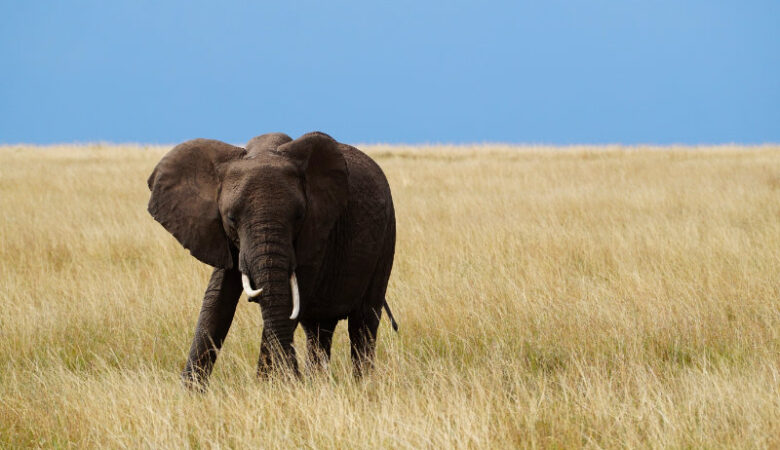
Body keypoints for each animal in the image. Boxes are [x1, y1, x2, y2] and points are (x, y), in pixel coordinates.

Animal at [147, 131, 397, 388]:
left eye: (299, 216)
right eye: (231, 218)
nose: (294, 378)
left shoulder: (317, 232)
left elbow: (286, 300)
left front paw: (266, 387)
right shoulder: (220, 237)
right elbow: (216, 300)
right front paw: (190, 391)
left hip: (387, 237)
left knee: (364, 321)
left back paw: (362, 384)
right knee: (318, 330)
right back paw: (318, 382)